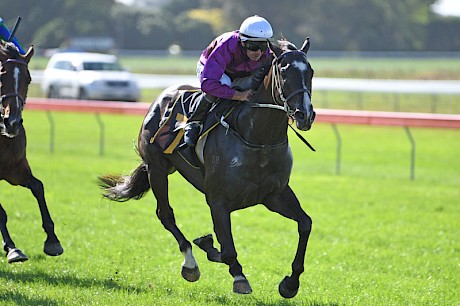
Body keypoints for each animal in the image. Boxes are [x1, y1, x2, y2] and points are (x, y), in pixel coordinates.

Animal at [0, 41, 63, 262]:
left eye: (28, 79)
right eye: (1, 76)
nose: (12, 122)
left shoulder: (15, 168)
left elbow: (38, 187)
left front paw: (52, 240)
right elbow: (1, 212)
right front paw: (12, 249)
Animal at [99, 37, 314, 296]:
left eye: (310, 72)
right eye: (284, 72)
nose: (304, 115)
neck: (259, 139)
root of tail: (161, 98)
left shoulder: (275, 195)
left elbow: (305, 224)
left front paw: (290, 283)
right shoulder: (218, 199)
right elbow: (228, 249)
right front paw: (238, 276)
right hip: (157, 168)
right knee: (165, 214)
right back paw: (190, 264)